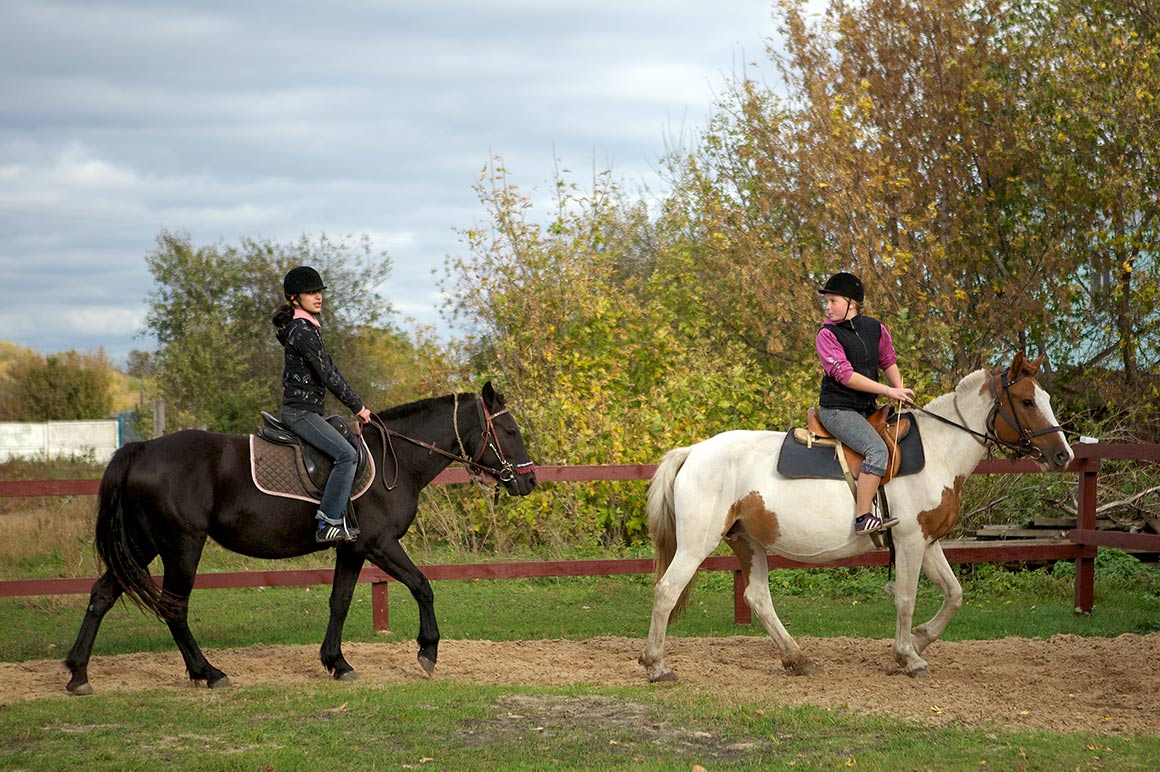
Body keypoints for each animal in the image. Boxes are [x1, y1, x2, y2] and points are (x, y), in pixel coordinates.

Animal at [64, 382, 533, 695]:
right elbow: (423, 585)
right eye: (510, 431)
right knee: (175, 608)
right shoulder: (380, 544)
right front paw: (428, 653)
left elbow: (340, 601)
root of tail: (142, 448)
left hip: (141, 545)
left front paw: (337, 663)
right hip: (181, 546)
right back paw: (208, 672)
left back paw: (78, 673)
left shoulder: (353, 547)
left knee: (102, 595)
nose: (528, 481)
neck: (393, 459)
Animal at [640, 352, 1071, 676]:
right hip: (698, 543)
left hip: (747, 540)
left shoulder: (928, 541)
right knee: (667, 590)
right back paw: (656, 664)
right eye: (1028, 402)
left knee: (757, 598)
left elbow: (954, 595)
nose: (1063, 455)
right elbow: (906, 597)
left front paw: (917, 639)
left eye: (1046, 399)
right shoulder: (910, 541)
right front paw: (909, 657)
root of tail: (692, 451)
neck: (938, 451)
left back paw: (797, 658)